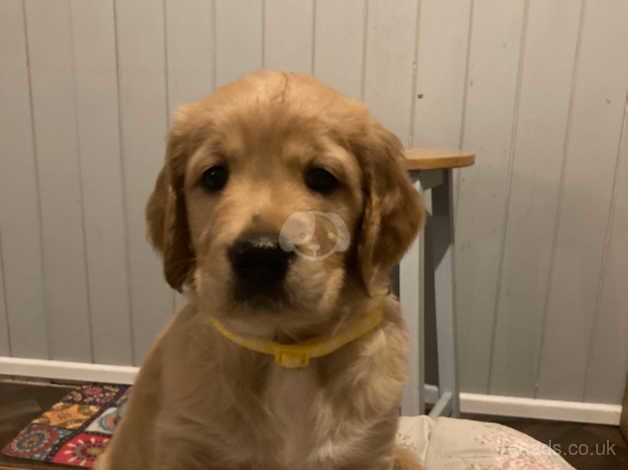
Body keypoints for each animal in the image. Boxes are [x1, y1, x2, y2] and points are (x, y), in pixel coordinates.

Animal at [97, 70, 422, 470]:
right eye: (214, 175)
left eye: (322, 177)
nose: (260, 255)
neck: (286, 350)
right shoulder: (187, 445)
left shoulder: (368, 452)